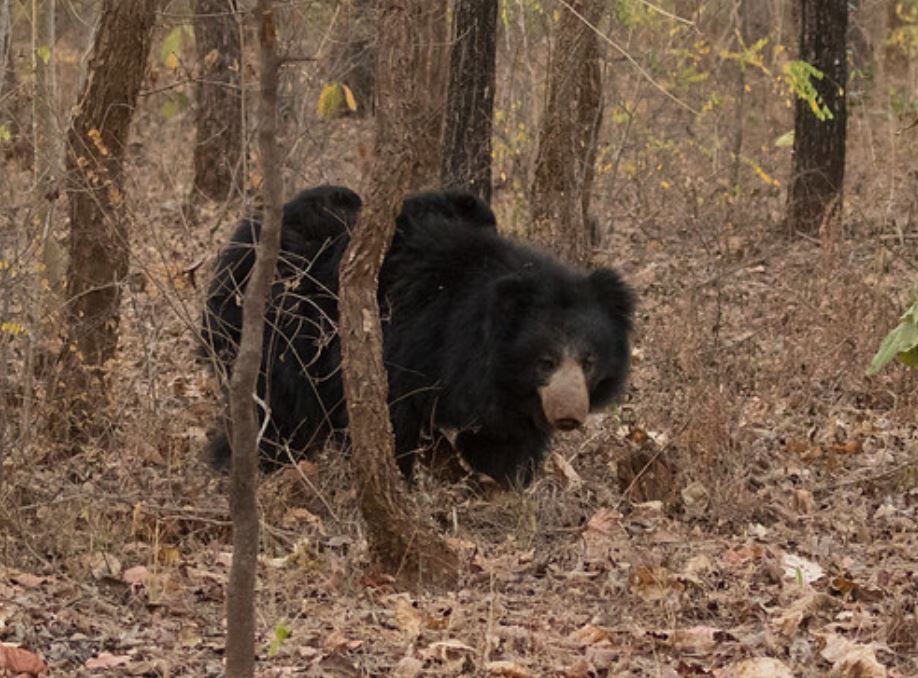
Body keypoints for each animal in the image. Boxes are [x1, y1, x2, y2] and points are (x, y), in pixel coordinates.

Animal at [201, 185, 633, 487]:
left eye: (589, 361)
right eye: (545, 360)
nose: (568, 415)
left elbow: (504, 437)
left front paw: (500, 480)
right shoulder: (409, 347)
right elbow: (396, 420)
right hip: (278, 332)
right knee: (277, 407)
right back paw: (250, 460)